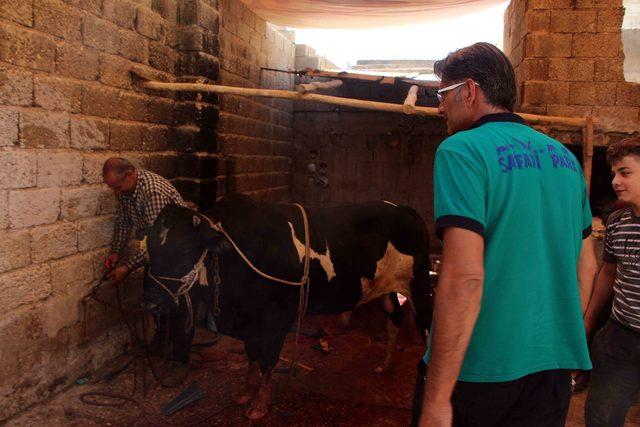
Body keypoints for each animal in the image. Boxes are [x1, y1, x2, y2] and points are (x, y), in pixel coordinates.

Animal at [148, 195, 432, 422]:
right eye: (149, 246)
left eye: (185, 249)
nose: (152, 301)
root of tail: (405, 209)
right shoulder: (250, 320)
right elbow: (252, 356)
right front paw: (246, 393)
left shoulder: (276, 318)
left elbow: (268, 360)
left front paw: (260, 405)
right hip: (386, 287)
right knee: (394, 317)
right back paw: (384, 364)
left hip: (419, 285)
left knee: (426, 327)